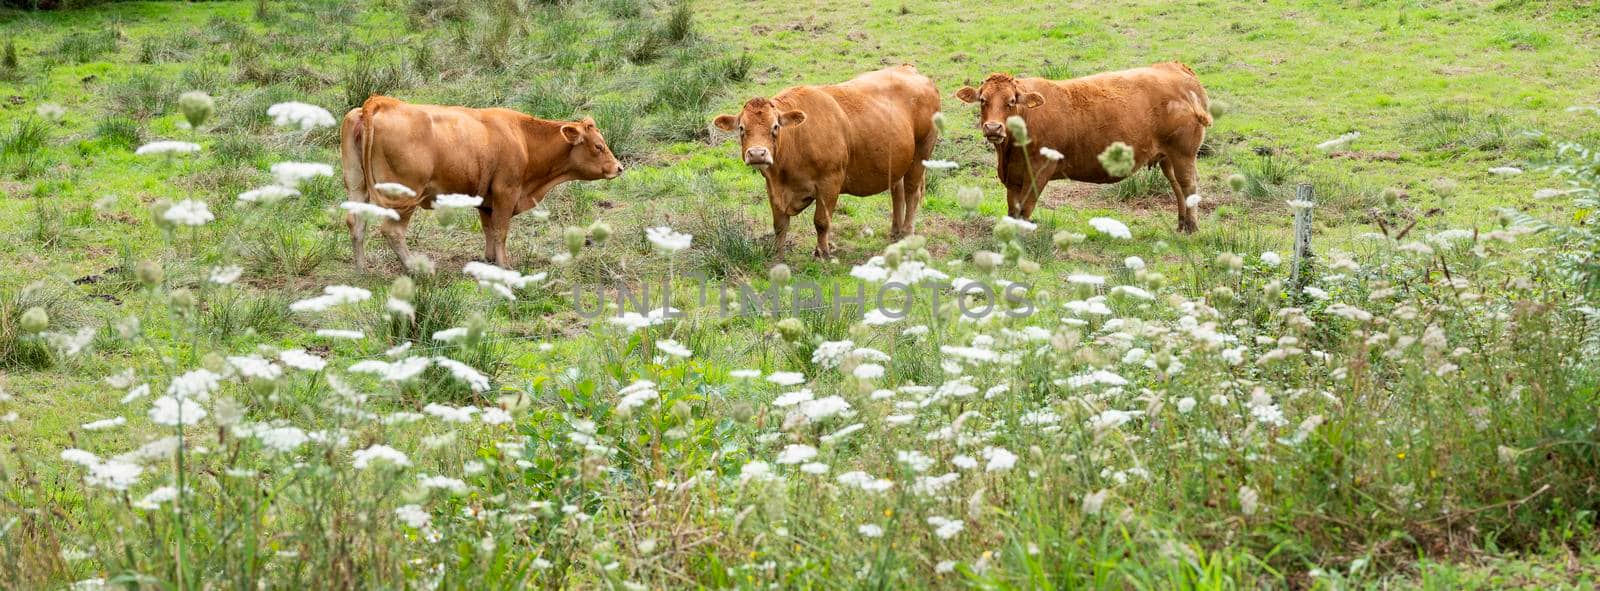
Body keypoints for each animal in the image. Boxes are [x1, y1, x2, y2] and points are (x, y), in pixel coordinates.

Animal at [339, 95, 624, 270]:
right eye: (598, 146)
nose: (619, 168)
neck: (522, 137)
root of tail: (380, 102)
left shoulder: (487, 200)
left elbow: (488, 229)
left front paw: (489, 259)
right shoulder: (506, 192)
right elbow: (500, 230)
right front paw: (504, 264)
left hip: (357, 187)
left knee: (356, 223)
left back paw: (362, 269)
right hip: (404, 197)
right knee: (392, 231)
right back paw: (415, 268)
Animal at [713, 64, 934, 257]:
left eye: (775, 126)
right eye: (741, 128)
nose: (758, 154)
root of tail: (906, 68)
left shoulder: (830, 182)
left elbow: (821, 221)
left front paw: (822, 252)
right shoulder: (773, 187)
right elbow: (780, 224)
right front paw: (778, 254)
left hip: (922, 151)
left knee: (911, 192)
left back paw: (907, 233)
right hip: (897, 160)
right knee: (897, 192)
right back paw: (895, 233)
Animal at [953, 62, 1203, 230]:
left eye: (1011, 101)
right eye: (983, 100)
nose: (993, 128)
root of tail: (1175, 68)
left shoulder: (1039, 171)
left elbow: (1025, 209)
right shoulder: (1013, 176)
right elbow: (1013, 210)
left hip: (1183, 153)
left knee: (1188, 186)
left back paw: (1191, 227)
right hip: (1167, 157)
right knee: (1177, 187)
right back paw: (1181, 224)